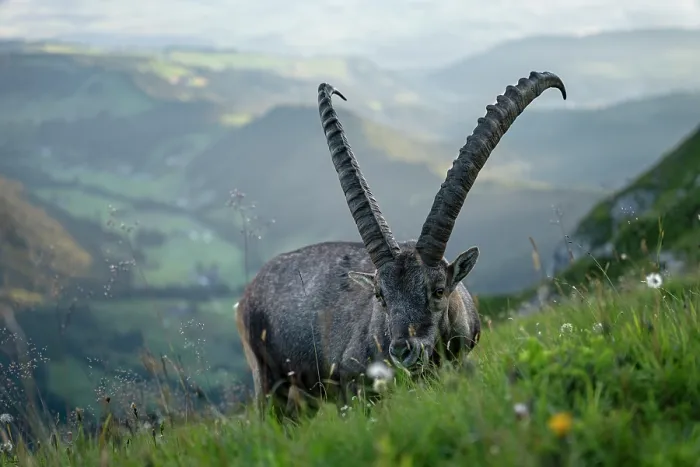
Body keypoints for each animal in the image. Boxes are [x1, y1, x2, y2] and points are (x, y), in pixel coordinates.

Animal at [236, 71, 567, 419]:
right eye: (380, 295)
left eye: (438, 290)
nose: (403, 351)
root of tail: (246, 296)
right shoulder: (353, 383)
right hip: (268, 384)